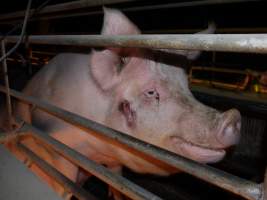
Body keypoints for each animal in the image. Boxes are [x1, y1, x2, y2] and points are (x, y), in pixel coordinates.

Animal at [5, 7, 242, 198]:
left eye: (186, 87)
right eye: (151, 92)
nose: (233, 117)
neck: (95, 148)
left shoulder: (113, 159)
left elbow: (117, 181)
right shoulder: (54, 142)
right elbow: (63, 182)